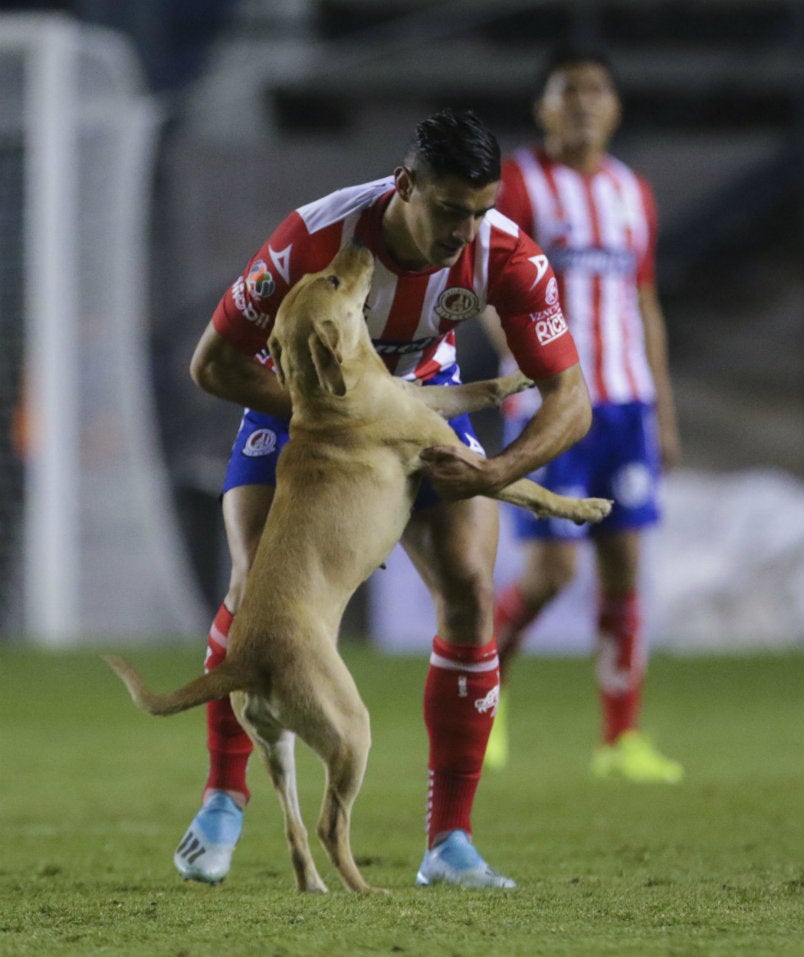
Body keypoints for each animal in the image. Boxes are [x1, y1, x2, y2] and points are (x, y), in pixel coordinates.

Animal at [107, 241, 608, 896]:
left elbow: (472, 389)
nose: (360, 246)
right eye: (333, 279)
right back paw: (365, 889)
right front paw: (587, 506)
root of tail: (247, 660)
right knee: (328, 824)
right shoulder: (452, 455)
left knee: (295, 829)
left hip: (278, 748)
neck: (328, 395)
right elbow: (531, 489)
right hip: (349, 732)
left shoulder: (425, 397)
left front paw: (515, 376)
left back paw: (314, 885)